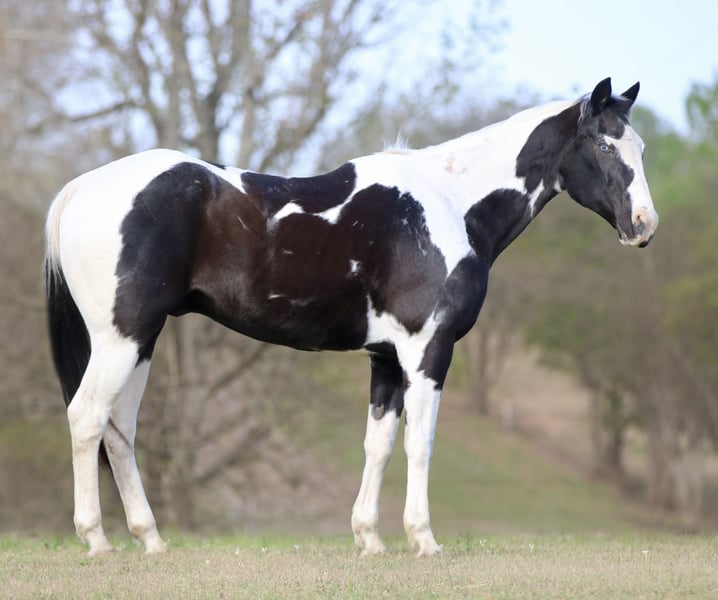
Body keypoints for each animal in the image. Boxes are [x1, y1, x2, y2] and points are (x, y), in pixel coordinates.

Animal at [45, 77, 658, 557]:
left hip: (140, 341)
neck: (448, 205)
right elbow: (420, 443)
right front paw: (423, 540)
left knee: (120, 429)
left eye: (642, 147)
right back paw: (96, 540)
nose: (644, 225)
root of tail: (80, 189)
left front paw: (370, 539)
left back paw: (150, 540)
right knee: (87, 417)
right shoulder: (428, 350)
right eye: (603, 144)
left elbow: (378, 444)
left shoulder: (386, 358)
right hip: (121, 339)